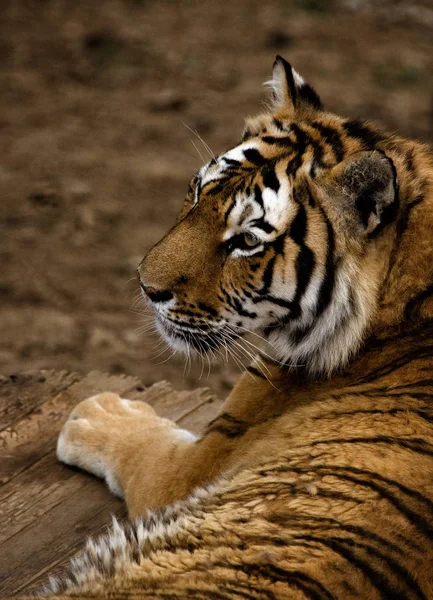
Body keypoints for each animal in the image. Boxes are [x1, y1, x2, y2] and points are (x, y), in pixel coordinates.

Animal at [28, 55, 432, 596]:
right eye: (199, 190)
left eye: (246, 241)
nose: (145, 286)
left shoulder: (190, 468)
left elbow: (143, 445)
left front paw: (99, 412)